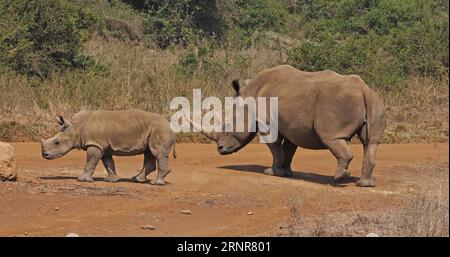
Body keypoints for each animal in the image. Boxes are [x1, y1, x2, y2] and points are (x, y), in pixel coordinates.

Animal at [40, 108, 177, 184]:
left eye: (57, 142)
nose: (44, 155)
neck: (76, 127)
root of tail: (170, 126)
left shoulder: (95, 144)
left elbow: (91, 162)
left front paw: (82, 180)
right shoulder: (102, 146)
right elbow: (108, 163)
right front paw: (111, 180)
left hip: (160, 130)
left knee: (158, 153)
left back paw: (156, 183)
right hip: (153, 130)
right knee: (149, 152)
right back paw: (137, 179)